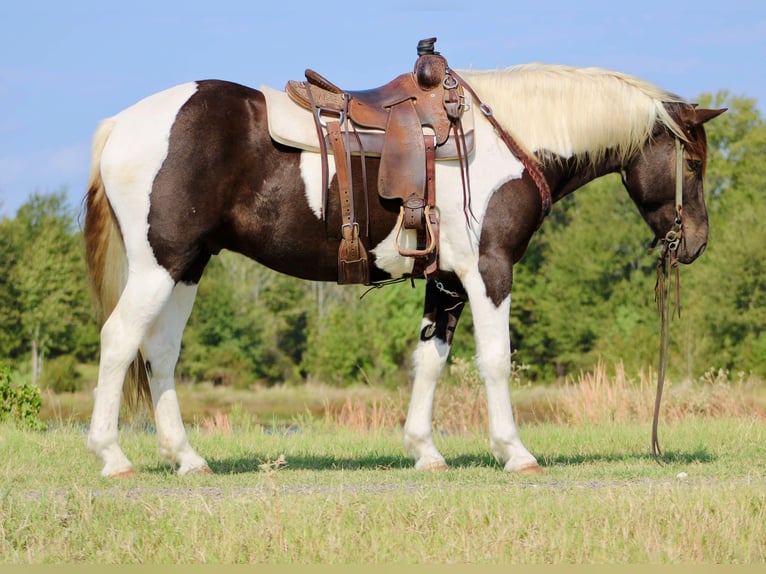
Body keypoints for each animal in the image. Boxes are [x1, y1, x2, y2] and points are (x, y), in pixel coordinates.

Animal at [82, 59, 724, 478]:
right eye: (692, 162)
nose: (695, 242)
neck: (507, 138)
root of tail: (122, 124)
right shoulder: (490, 271)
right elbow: (495, 361)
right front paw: (514, 452)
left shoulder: (447, 282)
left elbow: (430, 361)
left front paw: (425, 451)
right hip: (159, 267)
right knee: (118, 340)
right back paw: (113, 457)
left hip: (186, 266)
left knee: (160, 353)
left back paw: (187, 459)